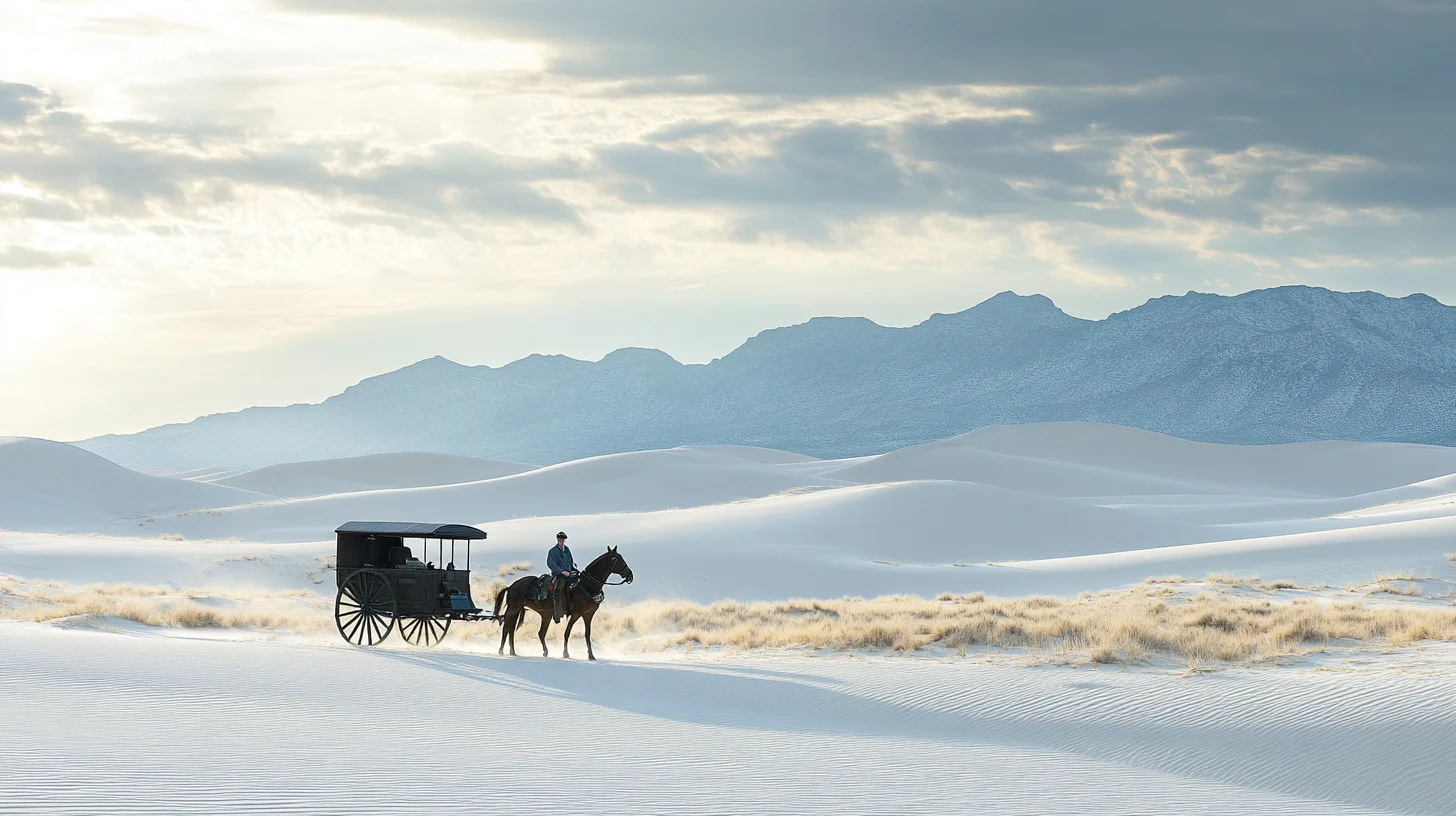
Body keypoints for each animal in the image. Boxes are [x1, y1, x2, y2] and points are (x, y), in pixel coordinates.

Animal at [495, 544, 631, 658]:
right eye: (616, 559)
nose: (630, 575)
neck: (586, 585)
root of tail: (511, 586)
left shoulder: (588, 614)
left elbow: (587, 634)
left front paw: (591, 656)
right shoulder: (576, 614)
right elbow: (567, 632)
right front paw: (566, 653)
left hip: (538, 613)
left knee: (526, 631)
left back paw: (517, 652)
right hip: (514, 609)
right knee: (507, 628)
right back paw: (501, 651)